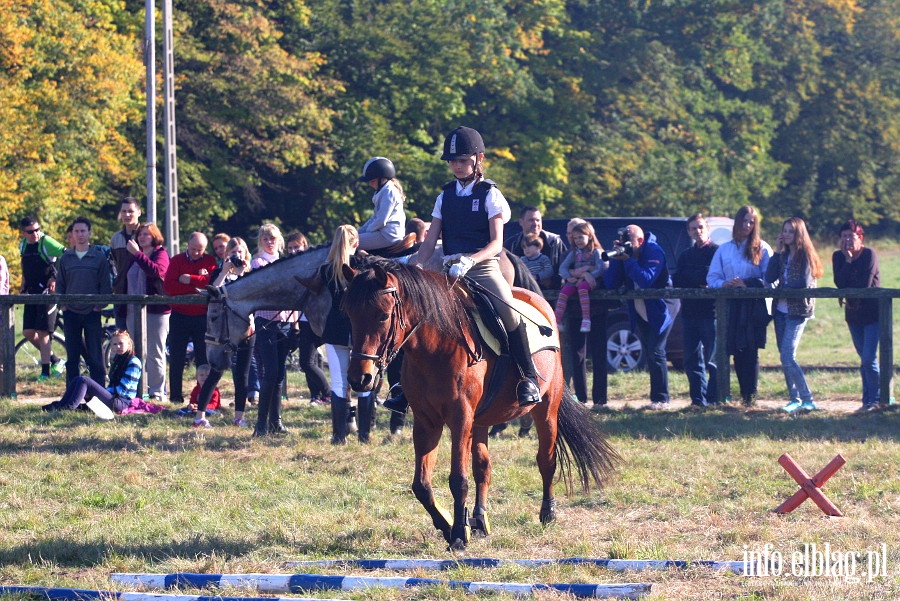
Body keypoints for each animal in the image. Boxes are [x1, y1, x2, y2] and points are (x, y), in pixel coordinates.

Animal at [342, 258, 616, 548]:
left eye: (383, 316)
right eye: (349, 315)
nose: (360, 378)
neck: (436, 346)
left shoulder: (460, 417)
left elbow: (458, 479)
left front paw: (458, 536)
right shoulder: (426, 421)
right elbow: (422, 485)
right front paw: (449, 524)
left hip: (546, 410)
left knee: (546, 459)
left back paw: (547, 512)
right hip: (481, 420)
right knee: (483, 467)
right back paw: (480, 520)